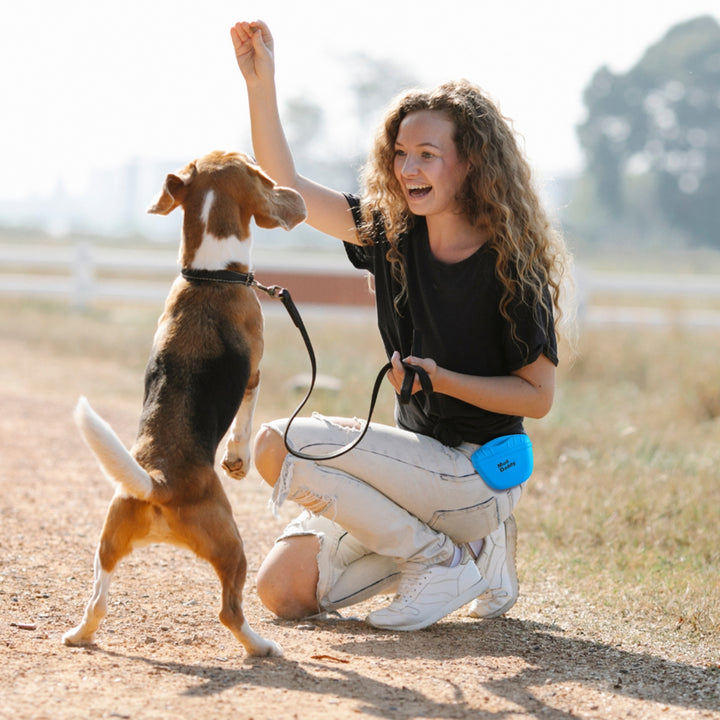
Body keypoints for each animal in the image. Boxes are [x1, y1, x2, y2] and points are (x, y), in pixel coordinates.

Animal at [62, 153, 306, 660]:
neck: (209, 274)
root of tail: (159, 482)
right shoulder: (254, 373)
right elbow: (244, 421)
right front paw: (237, 460)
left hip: (107, 542)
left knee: (97, 601)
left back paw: (79, 635)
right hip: (233, 545)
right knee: (229, 611)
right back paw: (261, 646)